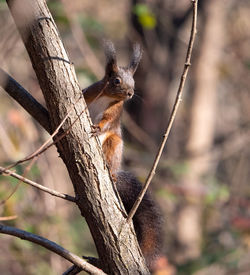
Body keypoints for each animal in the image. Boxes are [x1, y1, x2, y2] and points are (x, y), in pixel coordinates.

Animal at [83, 42, 165, 272]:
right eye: (116, 80)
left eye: (134, 82)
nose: (130, 93)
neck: (108, 97)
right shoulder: (89, 93)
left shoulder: (114, 112)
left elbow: (107, 121)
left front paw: (97, 127)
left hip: (114, 144)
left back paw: (111, 173)